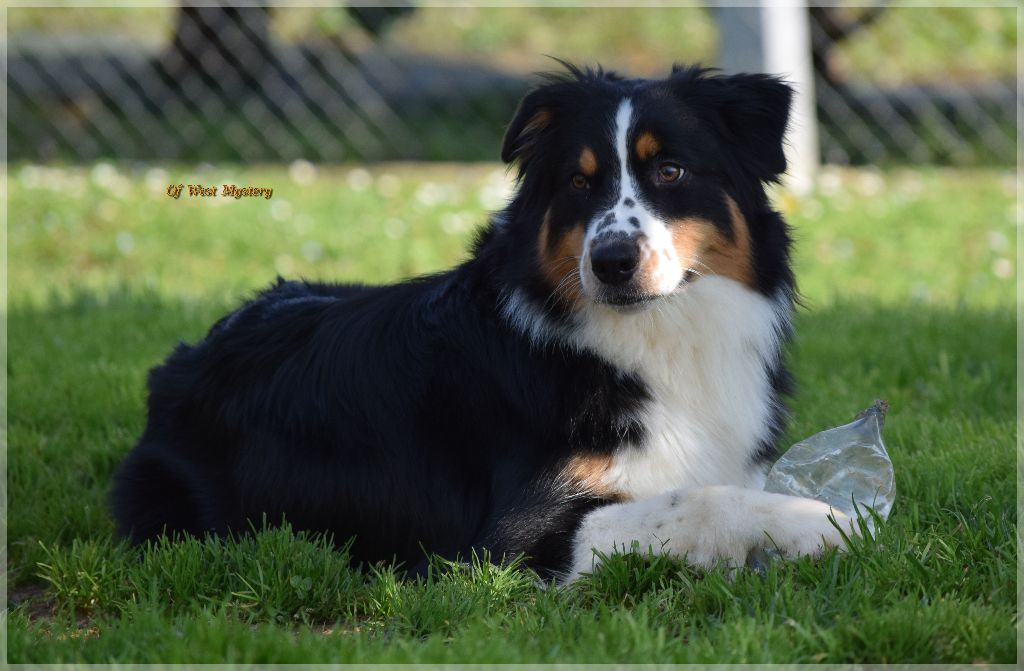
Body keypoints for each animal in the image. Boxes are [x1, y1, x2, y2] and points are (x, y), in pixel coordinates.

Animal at [111, 64, 853, 582]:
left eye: (670, 170)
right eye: (579, 182)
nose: (611, 262)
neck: (658, 339)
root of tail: (175, 365)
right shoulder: (507, 541)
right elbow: (696, 500)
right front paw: (821, 520)